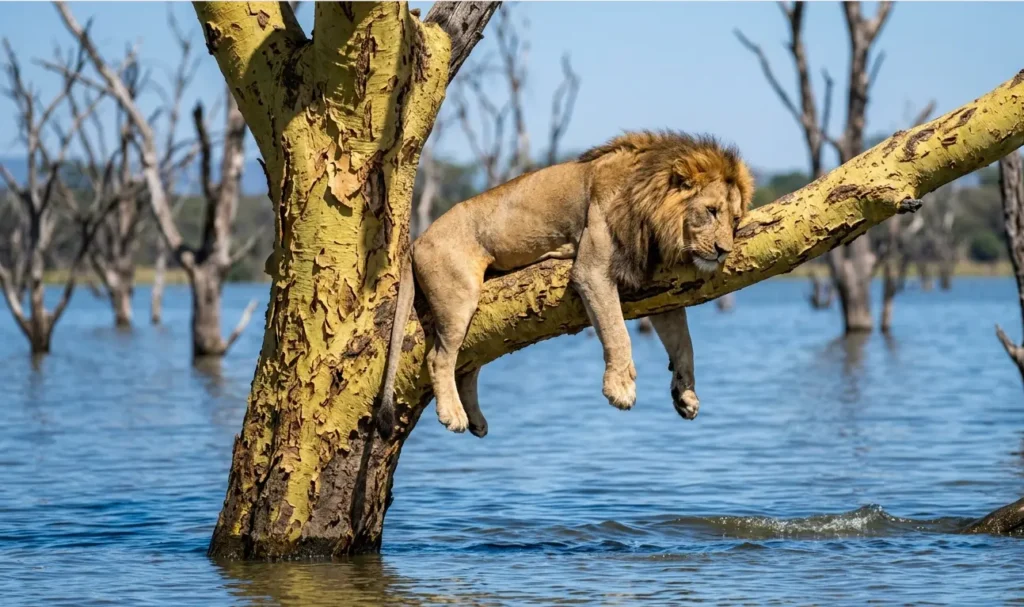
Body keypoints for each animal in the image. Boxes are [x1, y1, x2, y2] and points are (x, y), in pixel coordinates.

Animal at [376, 130, 754, 439]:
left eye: (734, 219)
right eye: (710, 211)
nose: (723, 250)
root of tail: (417, 240)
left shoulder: (656, 287)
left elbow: (684, 344)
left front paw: (686, 394)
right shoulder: (592, 270)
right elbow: (618, 332)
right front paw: (620, 388)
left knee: (468, 366)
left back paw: (477, 420)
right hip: (460, 298)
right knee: (440, 358)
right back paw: (453, 415)